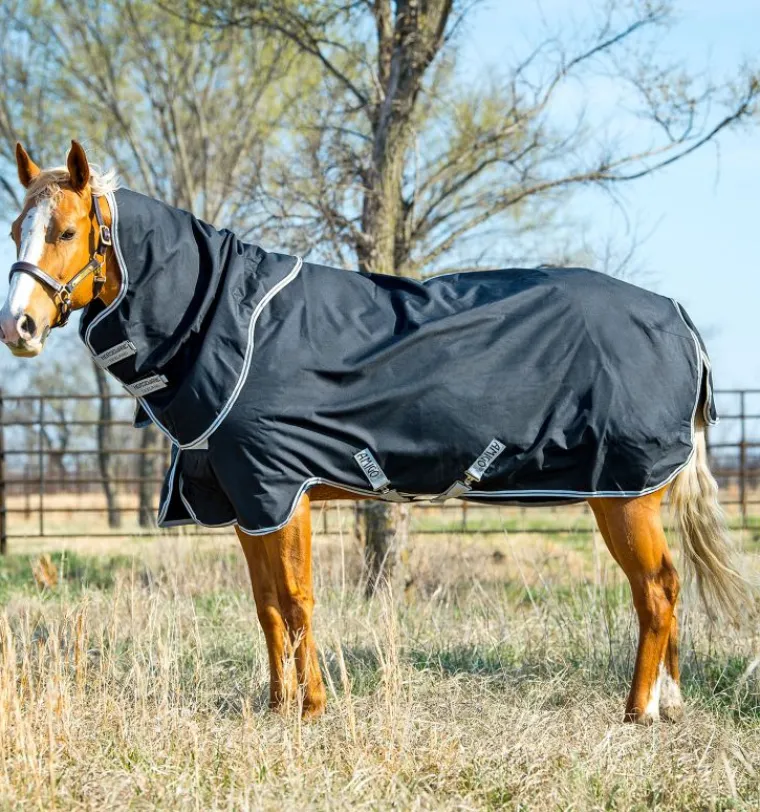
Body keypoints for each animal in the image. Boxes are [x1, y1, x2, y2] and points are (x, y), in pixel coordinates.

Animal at [0, 140, 750, 725]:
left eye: (65, 231)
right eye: (15, 231)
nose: (19, 328)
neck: (232, 326)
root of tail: (677, 316)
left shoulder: (282, 491)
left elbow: (296, 601)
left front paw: (313, 708)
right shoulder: (248, 503)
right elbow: (267, 607)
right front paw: (277, 707)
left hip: (623, 493)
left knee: (656, 589)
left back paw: (639, 710)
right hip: (631, 494)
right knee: (667, 587)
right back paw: (670, 701)